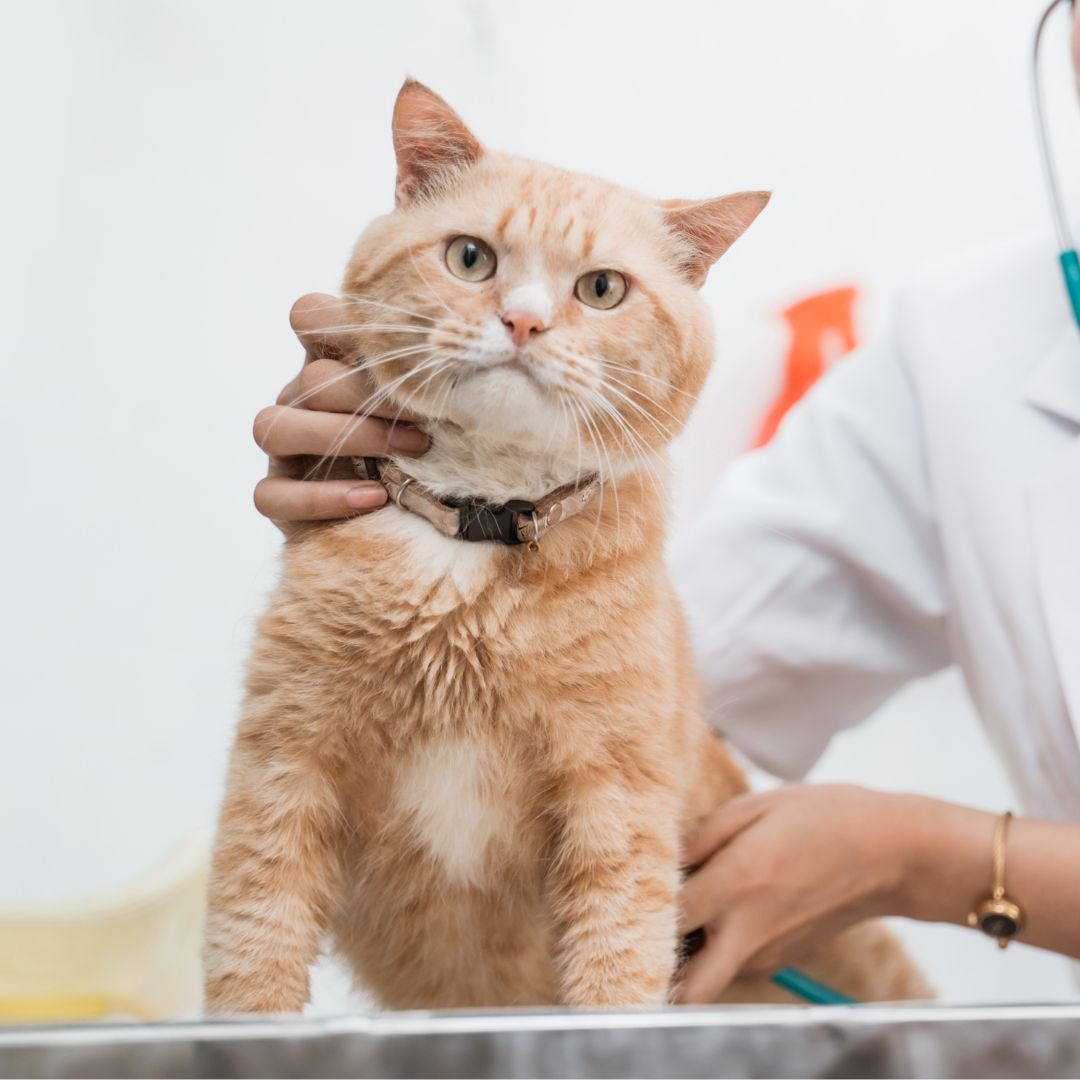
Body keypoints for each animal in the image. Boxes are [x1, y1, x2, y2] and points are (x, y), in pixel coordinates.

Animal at [203, 78, 928, 1010]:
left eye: (603, 288)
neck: (475, 536)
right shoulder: (284, 766)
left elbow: (616, 968)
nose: (523, 322)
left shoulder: (616, 802)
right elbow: (253, 953)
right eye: (470, 258)